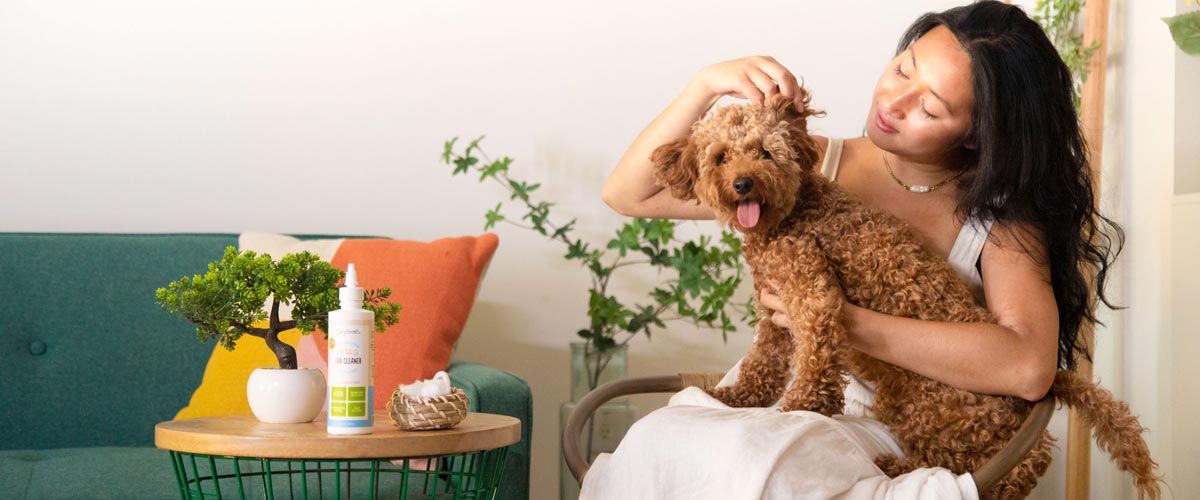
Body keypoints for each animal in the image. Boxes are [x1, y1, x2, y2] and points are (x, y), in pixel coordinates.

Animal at [652, 91, 1166, 496]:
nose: (743, 184)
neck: (791, 212)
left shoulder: (812, 292)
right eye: (721, 157)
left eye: (764, 152)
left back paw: (896, 466)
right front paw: (738, 397)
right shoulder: (774, 309)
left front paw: (799, 409)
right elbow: (763, 362)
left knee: (983, 468)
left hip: (929, 406)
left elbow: (814, 361)